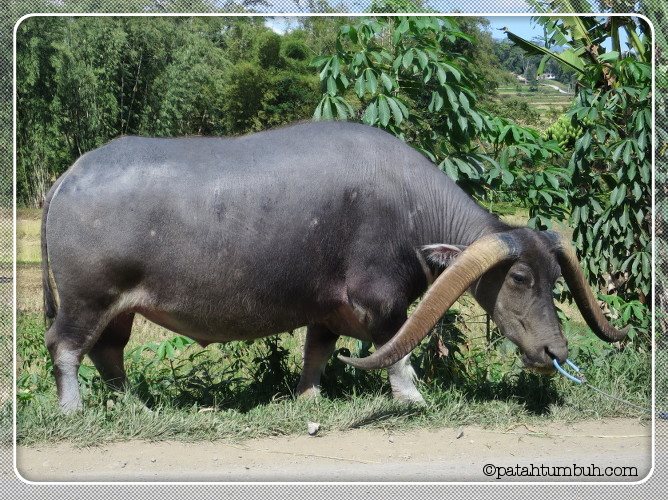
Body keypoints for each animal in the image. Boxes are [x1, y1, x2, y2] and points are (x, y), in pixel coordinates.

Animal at [40, 121, 628, 410]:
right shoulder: (381, 300)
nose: (556, 353)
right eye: (521, 278)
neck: (408, 206)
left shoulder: (325, 309)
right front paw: (412, 397)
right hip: (88, 298)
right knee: (66, 346)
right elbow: (397, 348)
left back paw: (134, 404)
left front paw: (309, 397)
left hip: (119, 308)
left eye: (556, 279)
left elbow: (318, 352)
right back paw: (73, 408)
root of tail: (70, 176)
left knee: (109, 353)